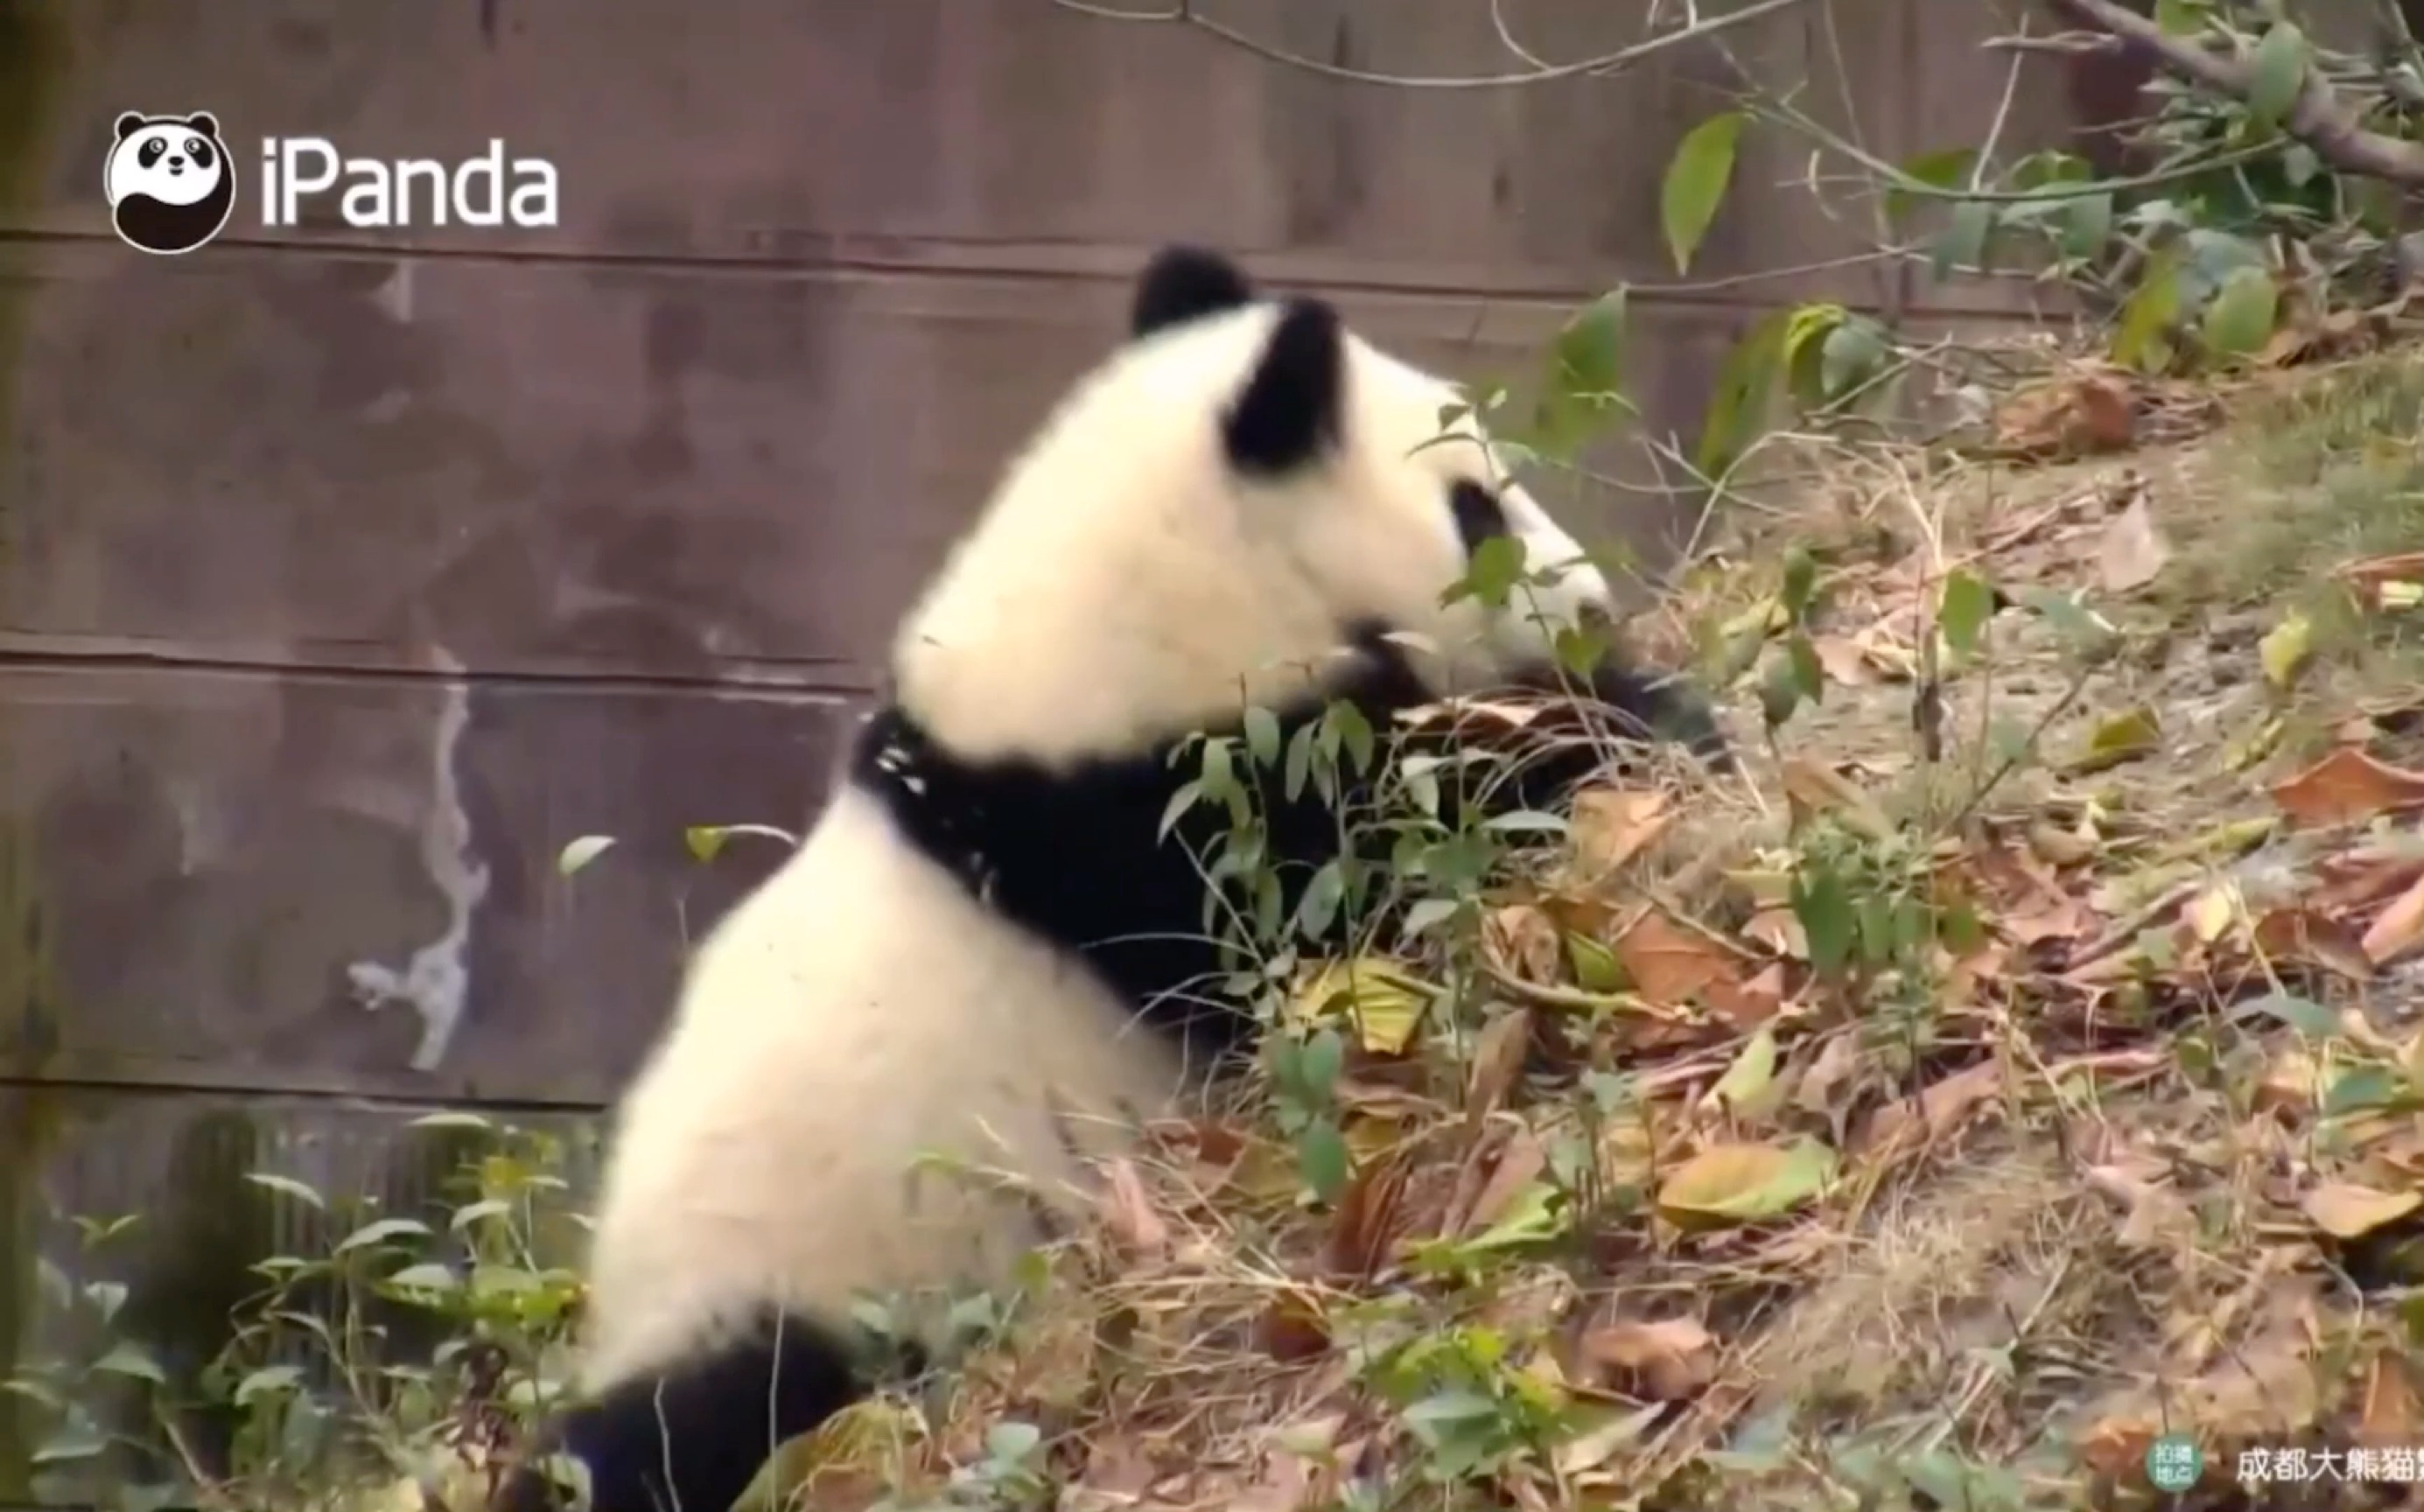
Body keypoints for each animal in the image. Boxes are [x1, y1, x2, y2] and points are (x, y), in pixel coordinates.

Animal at [501, 244, 1735, 1512]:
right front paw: (1644, 723)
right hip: (805, 1286)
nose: (1593, 604)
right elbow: (1379, 859)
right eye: (1474, 506)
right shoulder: (1169, 826)